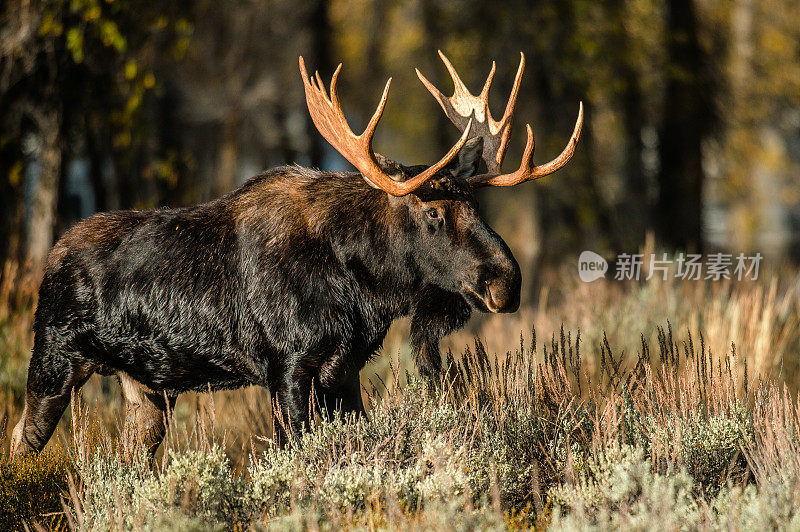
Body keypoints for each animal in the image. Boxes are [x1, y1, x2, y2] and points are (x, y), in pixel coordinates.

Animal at [9, 52, 580, 456]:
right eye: (434, 211)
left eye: (478, 205)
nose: (506, 282)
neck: (361, 289)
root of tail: (50, 257)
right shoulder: (286, 365)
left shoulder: (345, 368)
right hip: (54, 359)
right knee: (19, 440)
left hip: (145, 392)